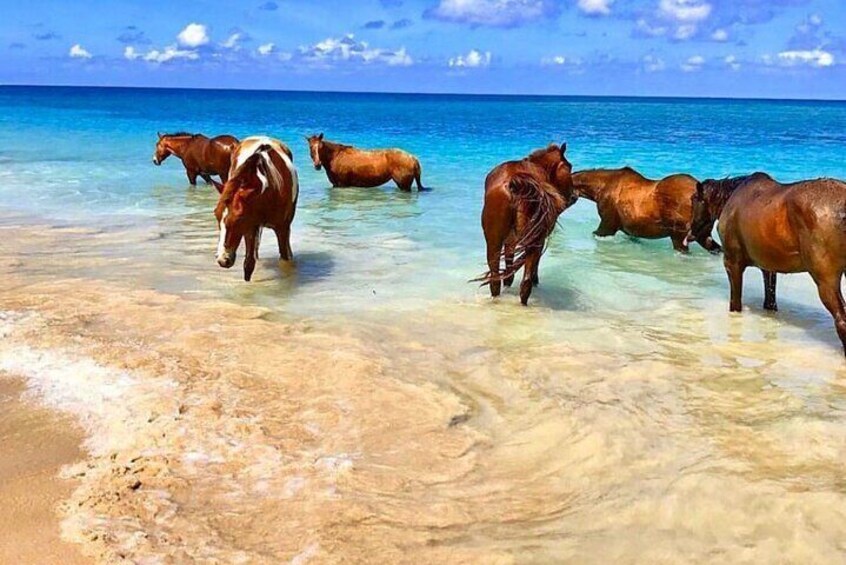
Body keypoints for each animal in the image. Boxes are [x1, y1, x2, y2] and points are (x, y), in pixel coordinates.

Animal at [214, 134, 300, 280]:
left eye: (239, 218)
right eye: (216, 214)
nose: (222, 259)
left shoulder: (282, 229)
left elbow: (284, 258)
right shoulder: (249, 228)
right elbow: (248, 265)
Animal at [480, 143, 580, 306]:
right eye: (569, 167)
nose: (574, 195)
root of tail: (515, 182)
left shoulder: (510, 241)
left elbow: (509, 273)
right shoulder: (540, 239)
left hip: (494, 242)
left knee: (495, 279)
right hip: (534, 241)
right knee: (525, 282)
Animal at [684, 174, 846, 354]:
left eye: (693, 199)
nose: (689, 232)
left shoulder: (732, 264)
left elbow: (735, 304)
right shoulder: (768, 268)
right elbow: (770, 303)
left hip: (826, 281)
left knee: (841, 321)